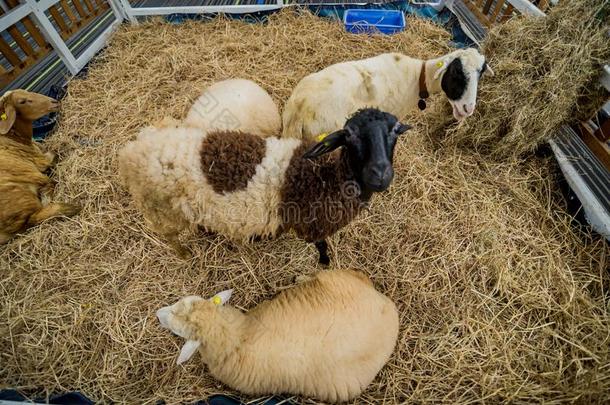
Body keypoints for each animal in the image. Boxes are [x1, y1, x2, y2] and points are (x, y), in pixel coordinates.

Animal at [0, 90, 81, 245]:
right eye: (22, 101)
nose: (54, 102)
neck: (13, 138)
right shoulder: (41, 161)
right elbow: (54, 153)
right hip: (22, 194)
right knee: (35, 216)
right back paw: (69, 207)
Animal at [116, 105, 410, 262]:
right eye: (349, 135)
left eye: (395, 131)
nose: (380, 174)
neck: (325, 177)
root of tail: (134, 146)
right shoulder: (312, 225)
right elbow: (321, 246)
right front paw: (325, 262)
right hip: (161, 209)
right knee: (170, 236)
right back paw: (185, 254)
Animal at [156, 266, 400, 402]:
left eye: (176, 329)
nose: (158, 314)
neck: (234, 336)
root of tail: (386, 304)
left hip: (334, 277)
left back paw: (302, 279)